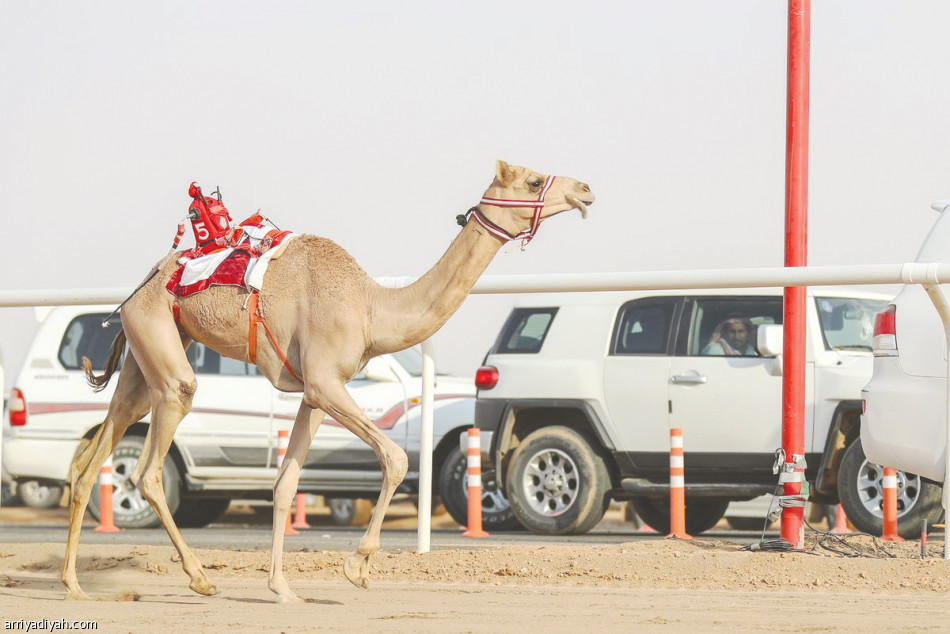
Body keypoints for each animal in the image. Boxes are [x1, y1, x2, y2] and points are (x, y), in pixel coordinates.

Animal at [59, 160, 596, 600]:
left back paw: (73, 583)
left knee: (95, 454)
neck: (372, 308)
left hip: (147, 351)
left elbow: (286, 483)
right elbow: (397, 458)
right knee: (151, 463)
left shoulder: (315, 394)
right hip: (159, 339)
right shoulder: (324, 382)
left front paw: (282, 588)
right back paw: (199, 577)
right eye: (533, 181)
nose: (586, 189)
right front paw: (357, 567)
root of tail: (141, 284)